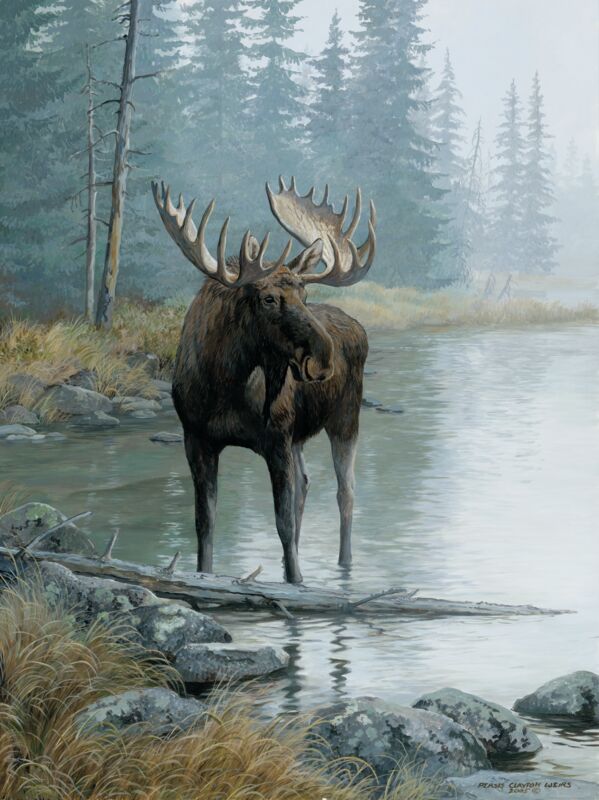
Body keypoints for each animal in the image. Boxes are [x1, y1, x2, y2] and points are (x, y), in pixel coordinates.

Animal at [151, 177, 376, 584]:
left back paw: (344, 565)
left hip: (346, 417)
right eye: (269, 298)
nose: (324, 357)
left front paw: (296, 581)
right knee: (306, 484)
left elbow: (282, 522)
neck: (223, 385)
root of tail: (357, 326)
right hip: (302, 434)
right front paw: (205, 574)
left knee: (346, 492)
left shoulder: (276, 438)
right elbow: (204, 522)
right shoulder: (197, 438)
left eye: (305, 292)